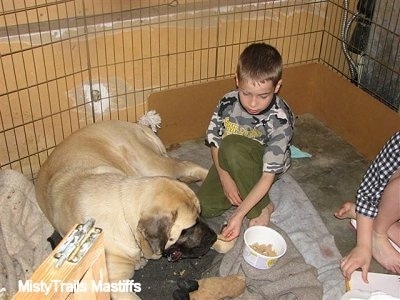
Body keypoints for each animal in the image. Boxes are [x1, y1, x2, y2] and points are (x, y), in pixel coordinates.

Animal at [35, 120, 223, 300]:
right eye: (188, 228)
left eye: (199, 215)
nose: (213, 237)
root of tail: (134, 124)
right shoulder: (113, 284)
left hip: (151, 165)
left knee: (188, 164)